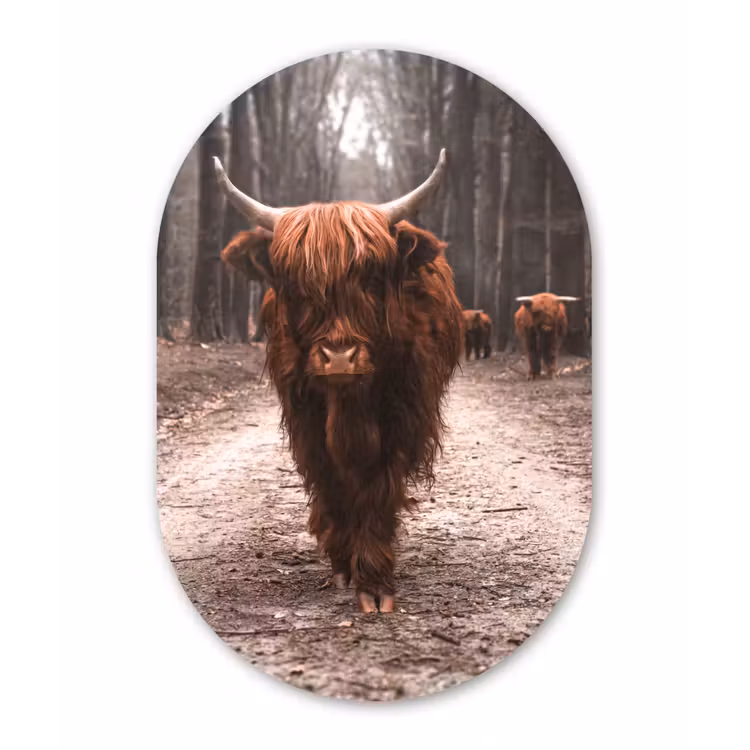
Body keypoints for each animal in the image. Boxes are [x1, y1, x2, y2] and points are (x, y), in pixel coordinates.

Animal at [215, 150, 464, 614]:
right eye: (295, 283)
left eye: (371, 277)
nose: (339, 358)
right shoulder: (305, 419)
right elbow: (331, 481)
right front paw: (344, 564)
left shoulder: (403, 417)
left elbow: (379, 487)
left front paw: (375, 581)